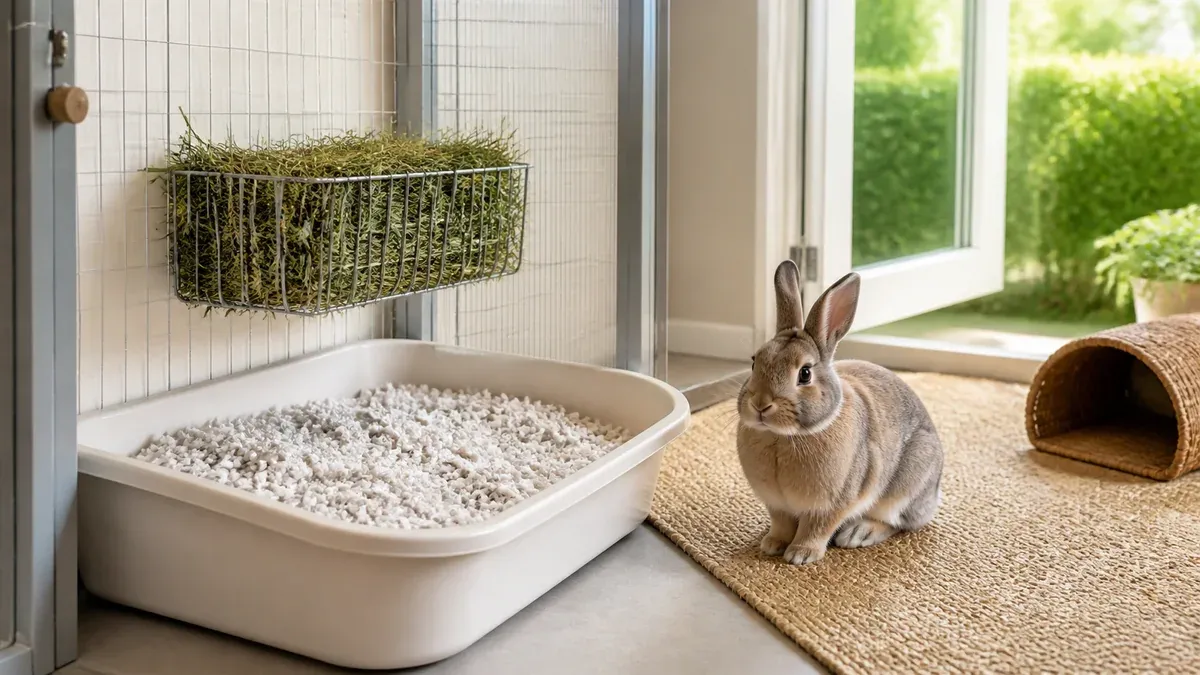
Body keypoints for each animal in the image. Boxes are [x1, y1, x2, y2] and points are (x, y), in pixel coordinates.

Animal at [736, 260, 944, 566]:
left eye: (805, 373)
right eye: (754, 362)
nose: (761, 404)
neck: (782, 437)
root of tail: (934, 496)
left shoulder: (832, 503)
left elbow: (817, 528)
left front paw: (800, 554)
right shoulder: (777, 504)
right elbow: (782, 523)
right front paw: (772, 545)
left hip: (905, 487)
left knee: (898, 522)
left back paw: (858, 533)